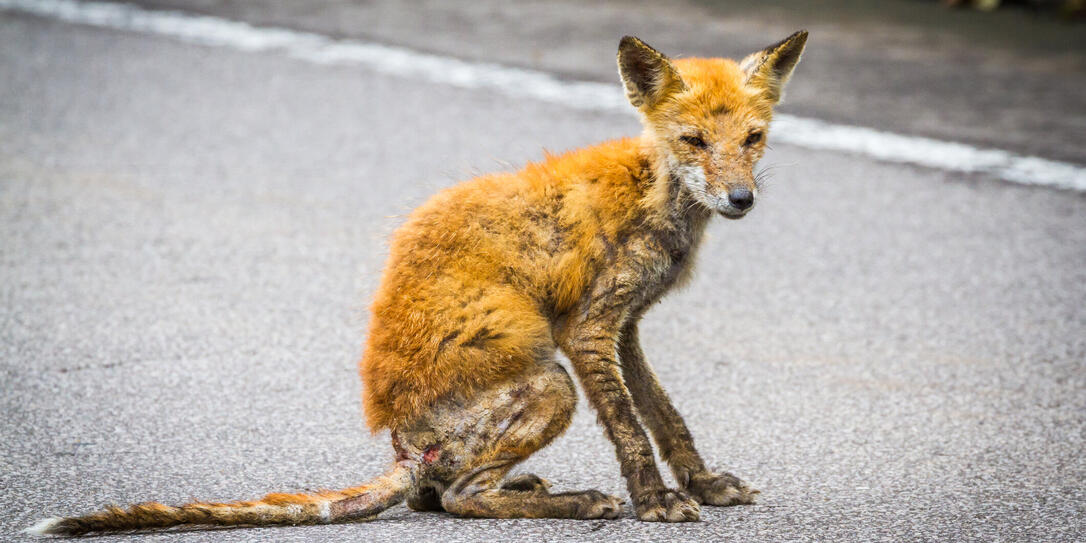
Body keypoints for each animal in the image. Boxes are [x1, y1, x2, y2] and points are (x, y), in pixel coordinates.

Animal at [23, 29, 807, 534]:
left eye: (753, 140)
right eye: (694, 142)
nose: (741, 199)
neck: (654, 197)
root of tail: (401, 446)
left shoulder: (625, 326)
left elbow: (667, 418)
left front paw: (705, 484)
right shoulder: (587, 331)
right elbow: (630, 430)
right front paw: (656, 503)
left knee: (436, 497)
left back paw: (527, 485)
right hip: (549, 383)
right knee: (457, 498)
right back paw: (579, 501)